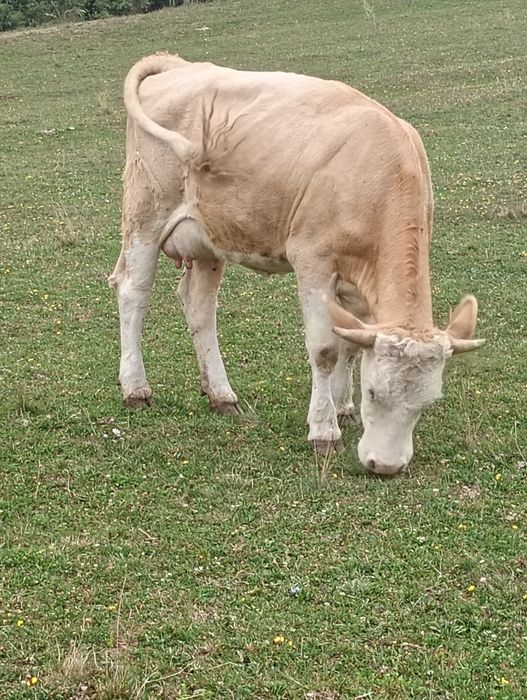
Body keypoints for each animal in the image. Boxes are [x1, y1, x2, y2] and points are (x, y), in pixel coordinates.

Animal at [109, 53, 484, 475]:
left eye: (428, 402)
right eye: (374, 392)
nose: (385, 466)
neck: (376, 170)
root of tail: (177, 63)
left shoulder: (357, 285)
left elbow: (349, 344)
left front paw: (343, 408)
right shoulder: (313, 262)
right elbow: (325, 350)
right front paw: (324, 429)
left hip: (206, 237)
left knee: (199, 307)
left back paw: (221, 394)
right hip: (146, 214)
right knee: (133, 292)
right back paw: (135, 387)